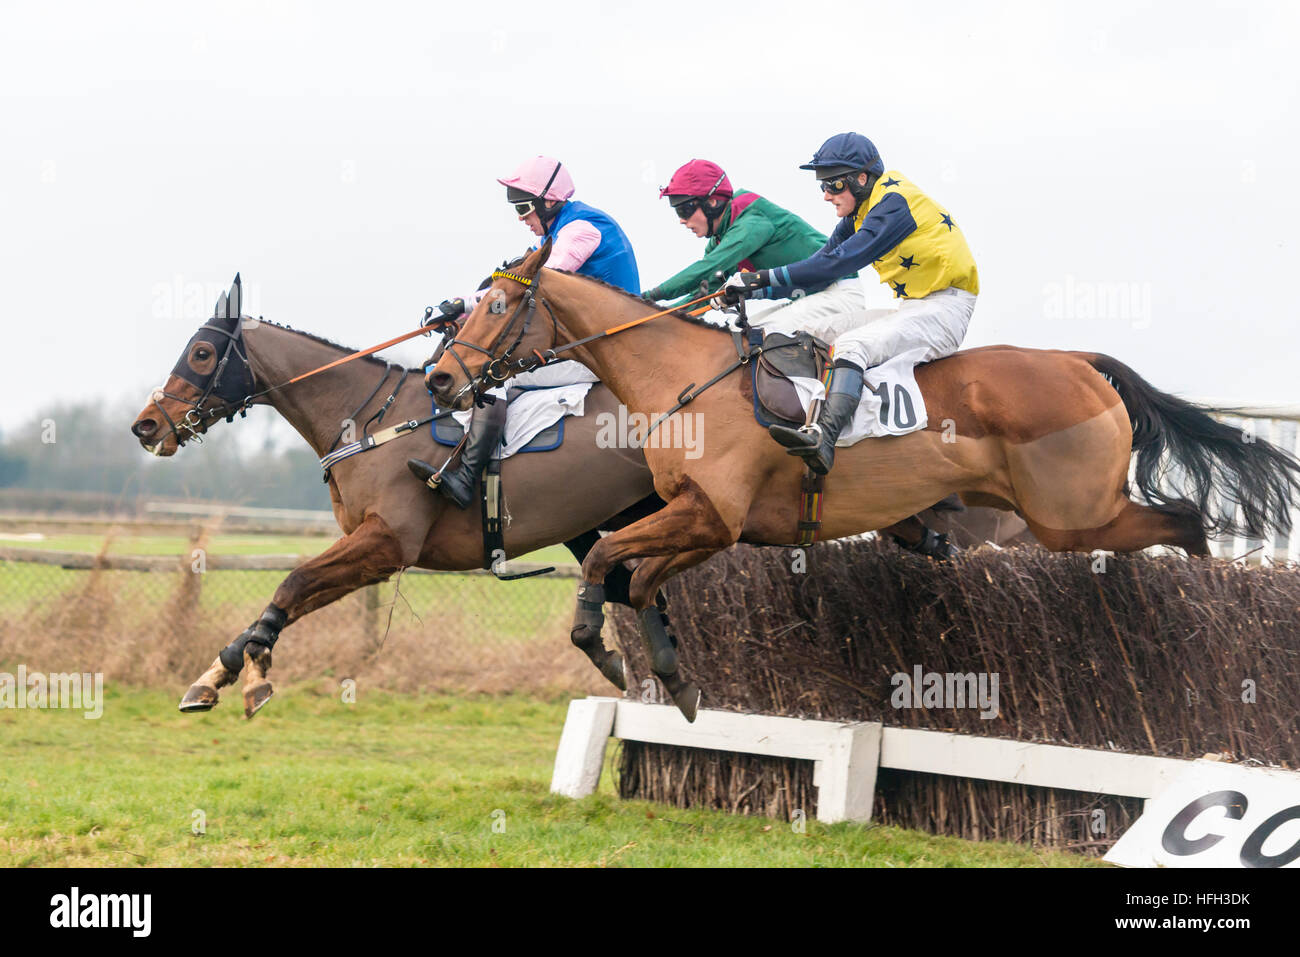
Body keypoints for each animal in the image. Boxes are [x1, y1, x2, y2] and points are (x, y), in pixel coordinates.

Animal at [431, 243, 1300, 722]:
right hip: (1067, 514)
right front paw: (674, 680)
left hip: (1073, 513)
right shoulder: (711, 522)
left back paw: (1212, 625)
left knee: (1187, 521)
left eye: (498, 305)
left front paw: (602, 651)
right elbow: (637, 578)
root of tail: (1080, 362)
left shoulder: (711, 517)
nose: (441, 380)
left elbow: (607, 556)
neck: (681, 376)